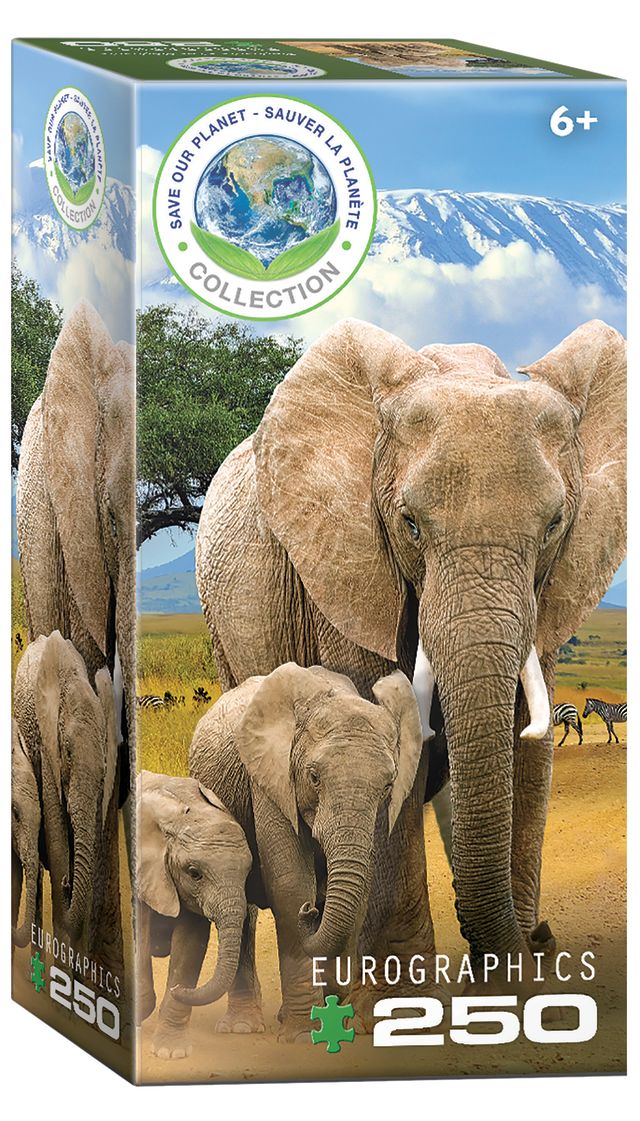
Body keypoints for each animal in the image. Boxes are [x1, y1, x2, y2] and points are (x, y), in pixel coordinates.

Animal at [162, 662, 423, 1047]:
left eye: (388, 785)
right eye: (313, 777)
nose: (311, 911)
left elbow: (360, 891)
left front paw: (342, 1026)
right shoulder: (270, 778)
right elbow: (290, 883)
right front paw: (302, 1035)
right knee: (243, 912)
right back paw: (243, 1027)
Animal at [196, 317, 626, 1003]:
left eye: (556, 524)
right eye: (410, 524)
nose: (540, 939)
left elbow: (527, 748)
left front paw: (521, 989)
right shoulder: (349, 566)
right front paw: (399, 987)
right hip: (224, 626)